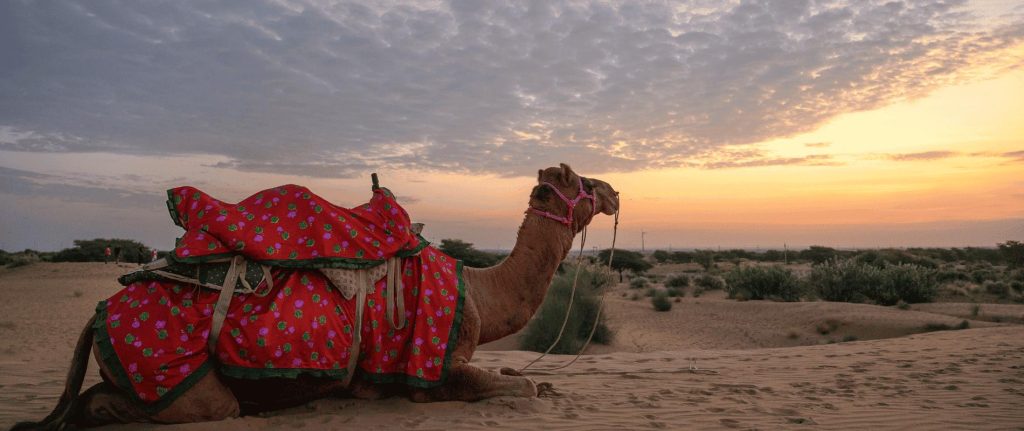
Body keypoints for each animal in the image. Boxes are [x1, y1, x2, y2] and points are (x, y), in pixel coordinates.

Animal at [14, 163, 619, 429]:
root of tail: (98, 314)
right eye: (583, 181)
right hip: (170, 368)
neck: (479, 295)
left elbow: (523, 377)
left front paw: (546, 383)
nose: (614, 191)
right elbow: (520, 389)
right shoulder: (429, 372)